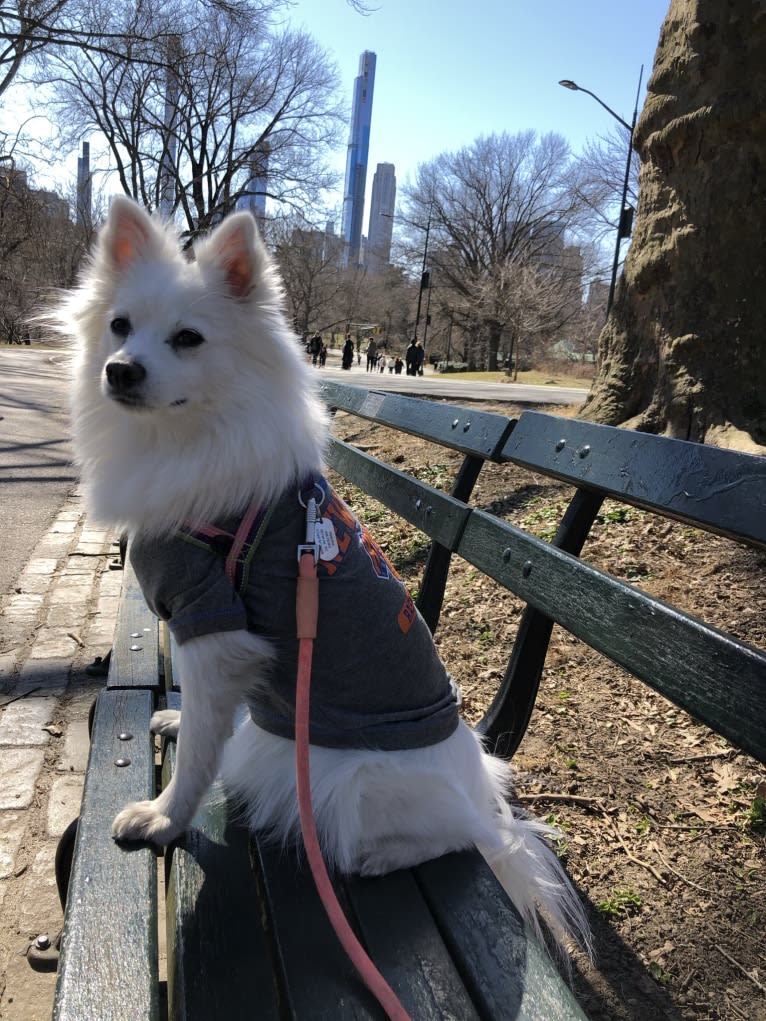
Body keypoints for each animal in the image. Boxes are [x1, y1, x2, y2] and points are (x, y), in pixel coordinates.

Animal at [64, 197, 592, 955]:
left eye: (188, 339)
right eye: (119, 326)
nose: (119, 370)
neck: (182, 440)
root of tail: (481, 787)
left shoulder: (211, 624)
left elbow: (199, 757)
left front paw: (163, 818)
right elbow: (201, 724)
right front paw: (176, 719)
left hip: (355, 782)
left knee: (468, 838)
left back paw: (379, 857)